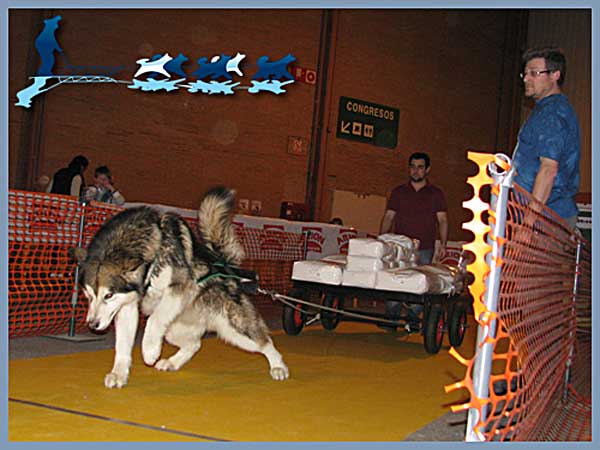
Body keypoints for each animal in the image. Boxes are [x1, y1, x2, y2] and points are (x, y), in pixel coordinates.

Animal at [74, 186, 290, 386]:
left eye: (108, 295)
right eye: (89, 296)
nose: (92, 324)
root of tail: (224, 266)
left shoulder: (180, 287)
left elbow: (154, 319)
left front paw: (150, 349)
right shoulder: (127, 306)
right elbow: (122, 345)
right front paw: (119, 374)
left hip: (235, 329)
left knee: (265, 343)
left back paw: (278, 367)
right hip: (174, 329)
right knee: (194, 344)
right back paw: (172, 362)